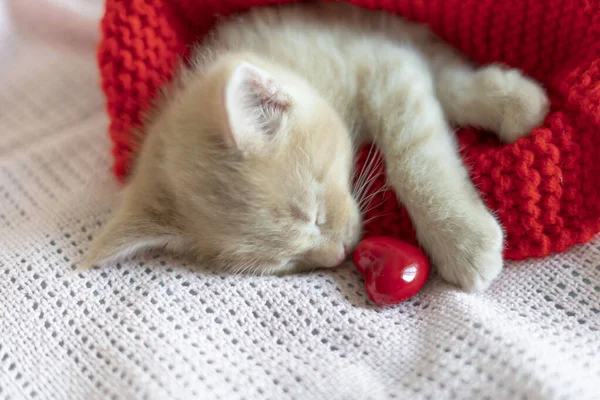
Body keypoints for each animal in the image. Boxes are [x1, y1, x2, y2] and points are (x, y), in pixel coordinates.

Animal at [83, 2, 548, 290]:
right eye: (284, 263)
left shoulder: (379, 48)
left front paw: (462, 239)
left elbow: (418, 144)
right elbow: (438, 75)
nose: (337, 256)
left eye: (315, 213)